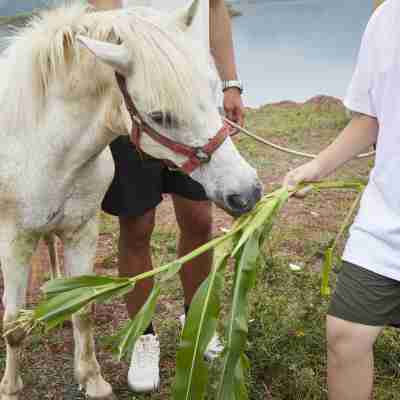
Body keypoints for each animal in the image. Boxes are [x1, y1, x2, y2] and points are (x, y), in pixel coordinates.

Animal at [0, 1, 260, 398]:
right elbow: (13, 326)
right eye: (160, 116)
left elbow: (84, 309)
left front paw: (92, 379)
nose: (247, 192)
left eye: (212, 88)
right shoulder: (13, 240)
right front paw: (11, 387)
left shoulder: (81, 230)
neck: (40, 145)